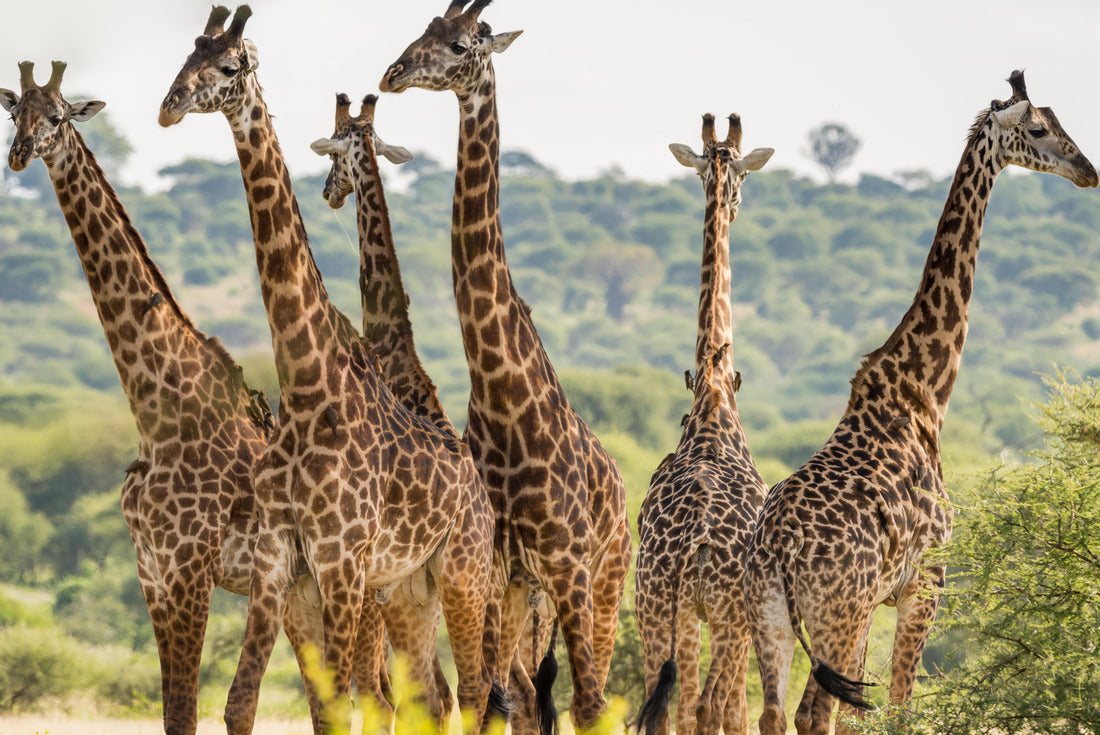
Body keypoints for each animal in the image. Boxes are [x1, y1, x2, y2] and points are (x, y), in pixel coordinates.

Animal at [0, 60, 369, 735]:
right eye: (14, 113)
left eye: (58, 115)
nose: (18, 155)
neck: (156, 412)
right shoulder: (151, 571)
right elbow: (175, 711)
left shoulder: (192, 566)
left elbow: (199, 708)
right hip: (302, 595)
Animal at [157, 6, 495, 732]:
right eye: (185, 57)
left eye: (229, 65)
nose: (168, 107)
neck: (308, 384)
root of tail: (480, 488)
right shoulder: (277, 559)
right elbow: (243, 703)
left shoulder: (342, 560)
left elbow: (344, 700)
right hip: (409, 587)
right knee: (434, 694)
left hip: (462, 571)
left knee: (477, 690)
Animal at [380, 2, 633, 732]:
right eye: (421, 31)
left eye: (462, 44)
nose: (392, 73)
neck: (498, 390)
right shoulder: (496, 567)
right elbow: (495, 697)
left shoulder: (567, 564)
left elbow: (585, 702)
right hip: (524, 592)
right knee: (519, 692)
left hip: (604, 581)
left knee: (593, 696)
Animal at [743, 70, 1098, 735]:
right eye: (1039, 129)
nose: (1088, 170)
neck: (924, 393)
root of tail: (779, 553)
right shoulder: (924, 583)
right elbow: (901, 707)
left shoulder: (889, 594)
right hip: (839, 612)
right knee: (812, 714)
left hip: (771, 617)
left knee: (775, 714)